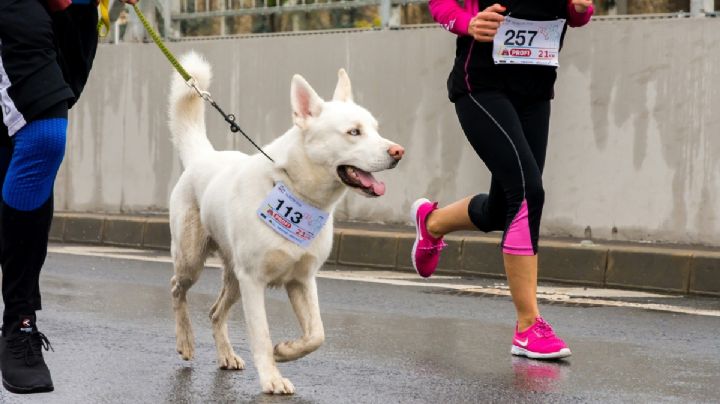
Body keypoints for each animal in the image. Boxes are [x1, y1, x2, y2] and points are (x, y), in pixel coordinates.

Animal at [168, 52, 404, 394]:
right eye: (354, 132)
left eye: (375, 129)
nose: (399, 151)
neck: (295, 189)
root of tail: (203, 156)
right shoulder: (254, 281)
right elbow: (261, 335)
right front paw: (271, 378)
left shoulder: (302, 280)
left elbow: (317, 335)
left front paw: (285, 351)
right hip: (193, 261)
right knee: (177, 289)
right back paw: (185, 340)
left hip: (234, 278)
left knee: (214, 312)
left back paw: (226, 354)